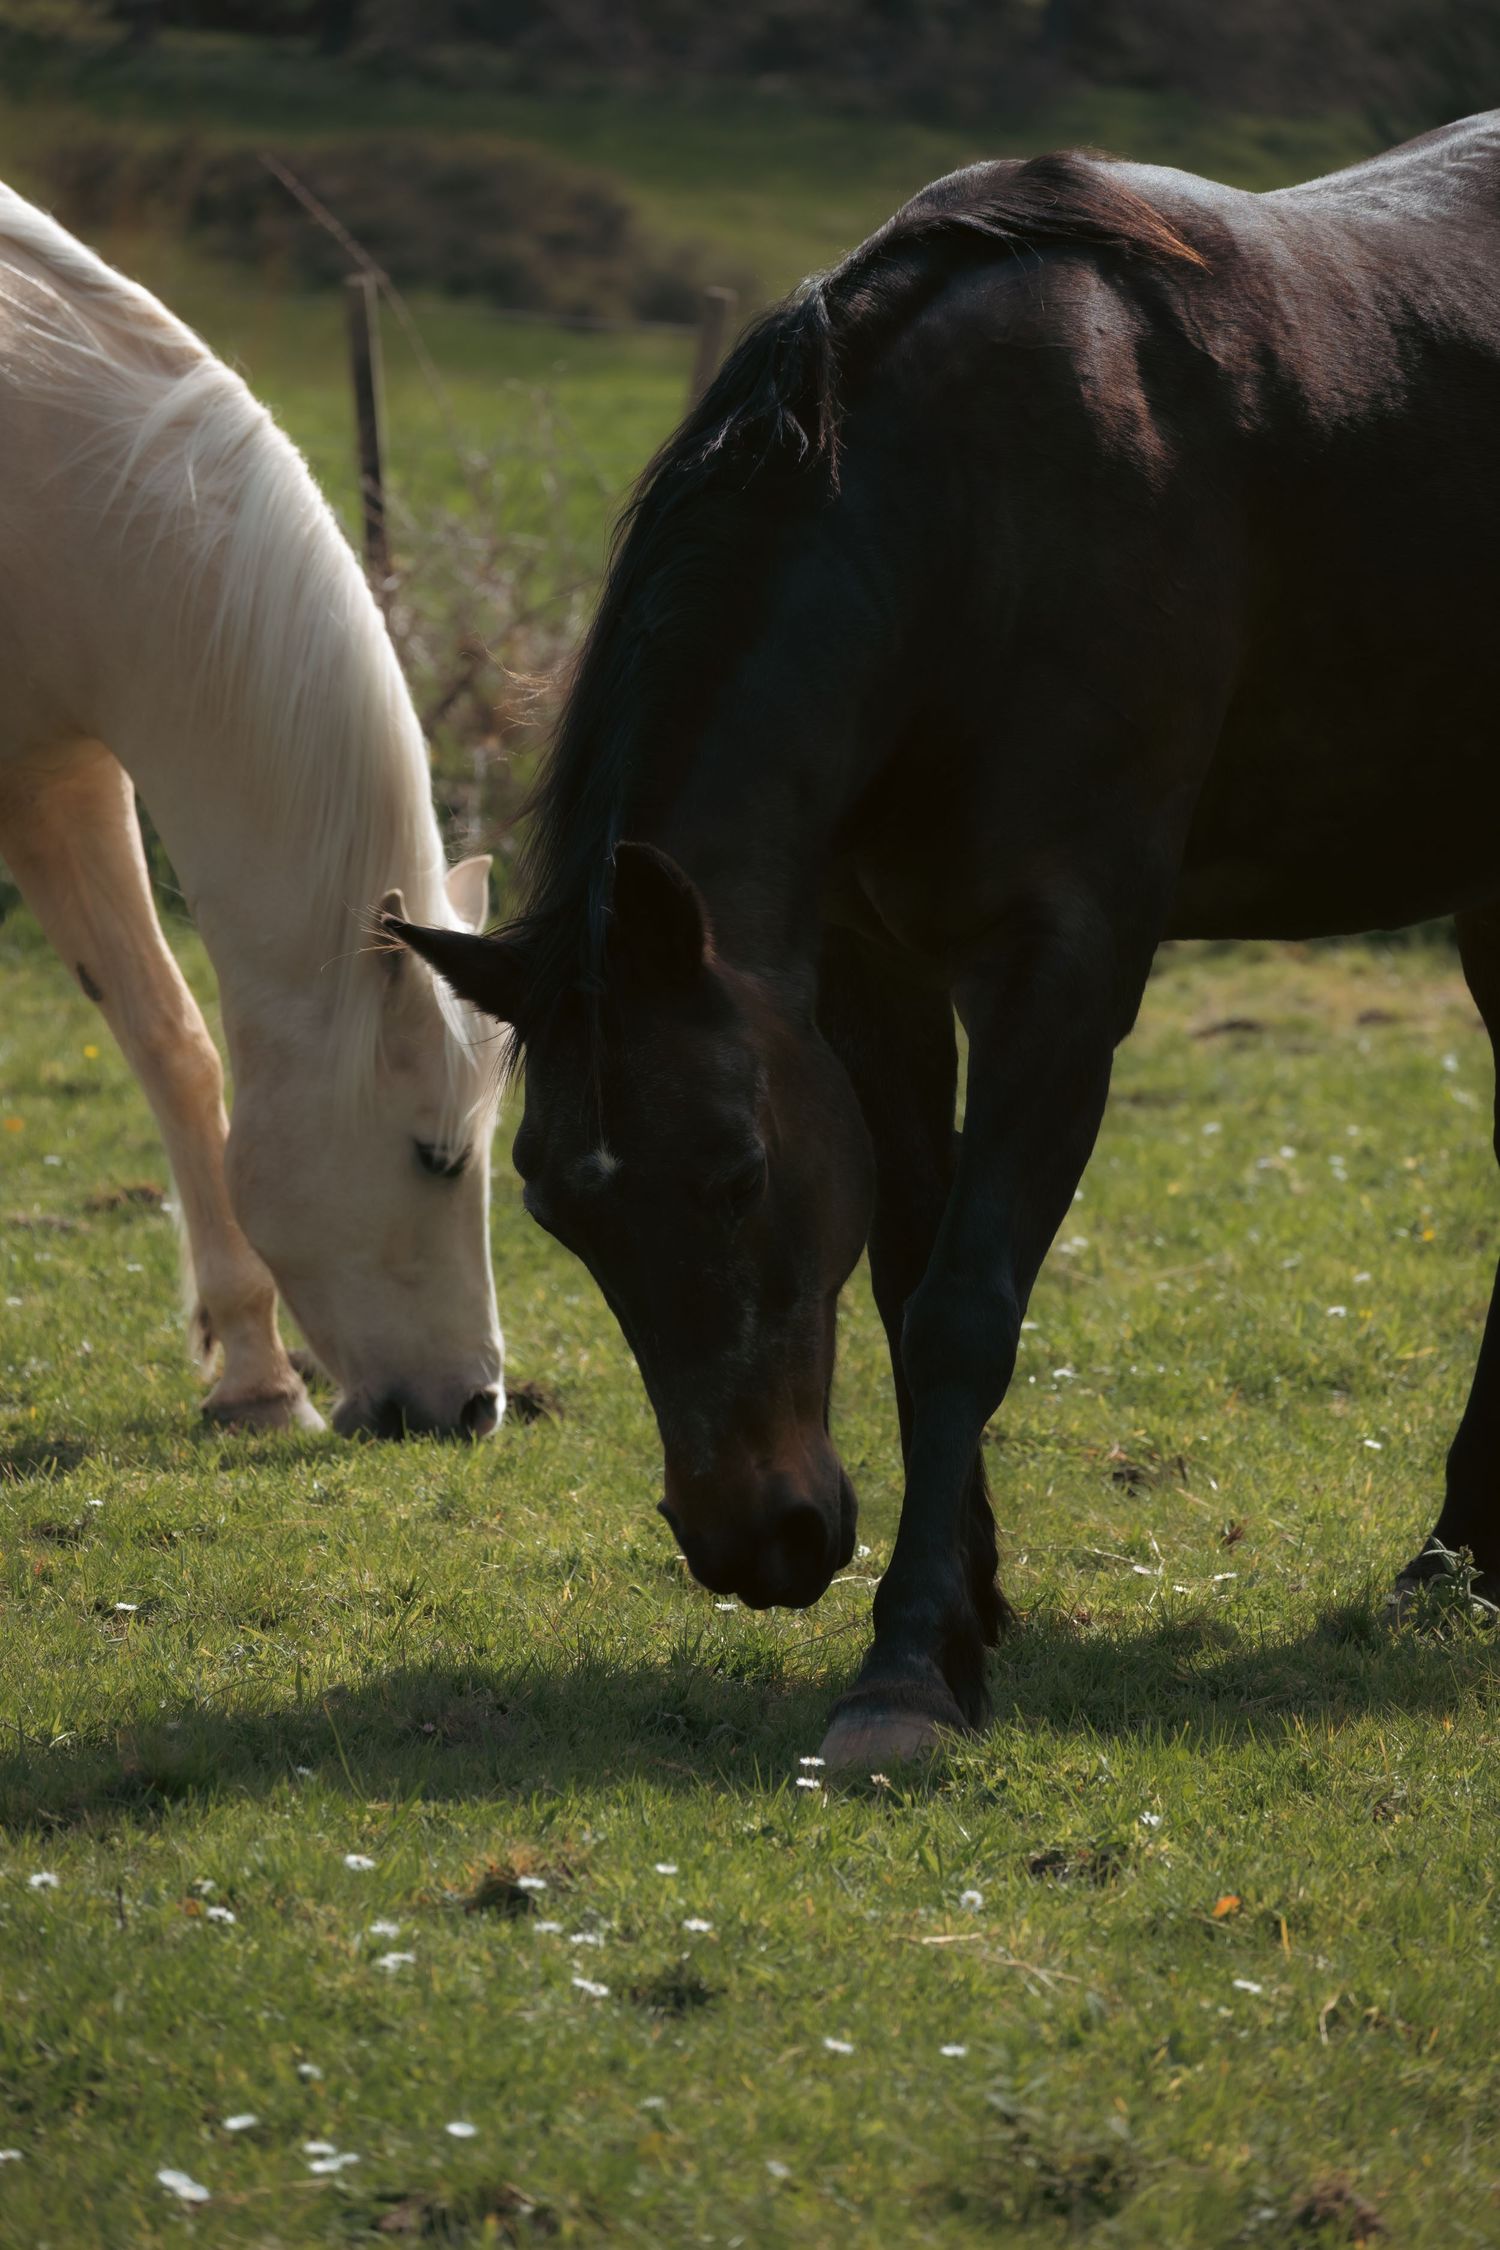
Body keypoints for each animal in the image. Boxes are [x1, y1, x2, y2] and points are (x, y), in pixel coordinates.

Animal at [391, 112, 1500, 1763]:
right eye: (555, 1209)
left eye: (735, 1174)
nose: (755, 1542)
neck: (978, 519)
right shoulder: (868, 981)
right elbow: (908, 1276)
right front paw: (964, 1609)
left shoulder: (1063, 974)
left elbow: (966, 1309)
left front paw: (910, 1665)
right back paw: (1456, 1557)